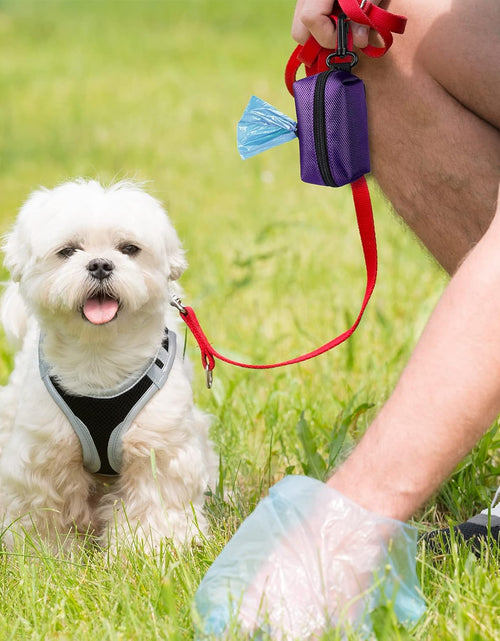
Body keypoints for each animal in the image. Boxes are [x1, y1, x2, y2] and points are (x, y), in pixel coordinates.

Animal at [0, 178, 217, 552]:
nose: (100, 264)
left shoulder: (158, 446)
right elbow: (44, 509)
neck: (99, 358)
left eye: (128, 248)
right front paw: (45, 552)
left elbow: (154, 502)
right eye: (68, 251)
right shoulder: (44, 454)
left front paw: (150, 548)